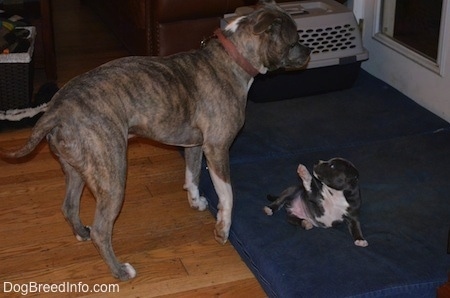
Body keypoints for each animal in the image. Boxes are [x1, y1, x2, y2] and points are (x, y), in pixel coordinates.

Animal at [0, 0, 310, 280]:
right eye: (294, 41)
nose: (308, 50)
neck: (233, 59)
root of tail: (56, 109)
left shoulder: (195, 146)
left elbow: (192, 175)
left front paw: (196, 201)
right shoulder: (218, 148)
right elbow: (228, 194)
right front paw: (222, 229)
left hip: (76, 169)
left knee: (69, 207)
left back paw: (81, 234)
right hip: (112, 176)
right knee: (101, 230)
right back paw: (120, 271)